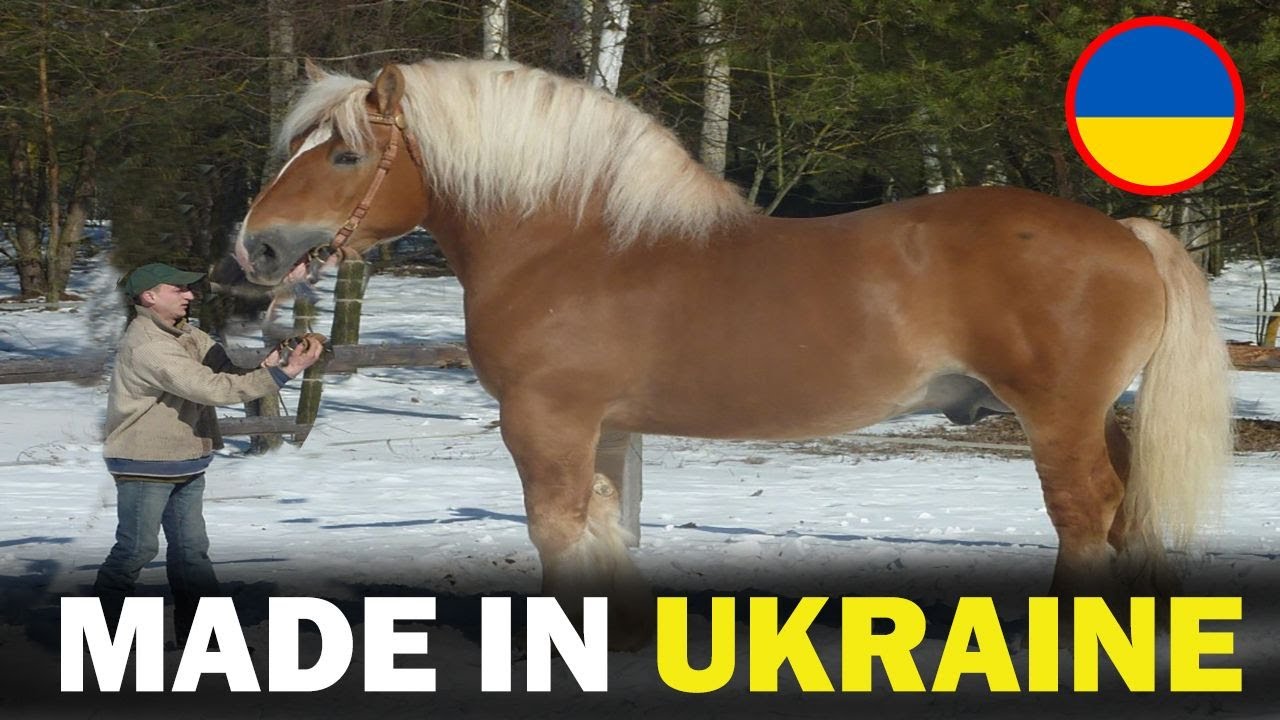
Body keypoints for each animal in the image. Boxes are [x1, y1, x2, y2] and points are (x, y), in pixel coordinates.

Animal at [234, 58, 1234, 649]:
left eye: (345, 157)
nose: (259, 249)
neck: (573, 243)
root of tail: (1126, 234)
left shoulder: (545, 423)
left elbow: (556, 530)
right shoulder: (601, 430)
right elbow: (606, 527)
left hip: (1057, 416)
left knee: (1085, 518)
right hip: (1099, 415)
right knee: (1127, 512)